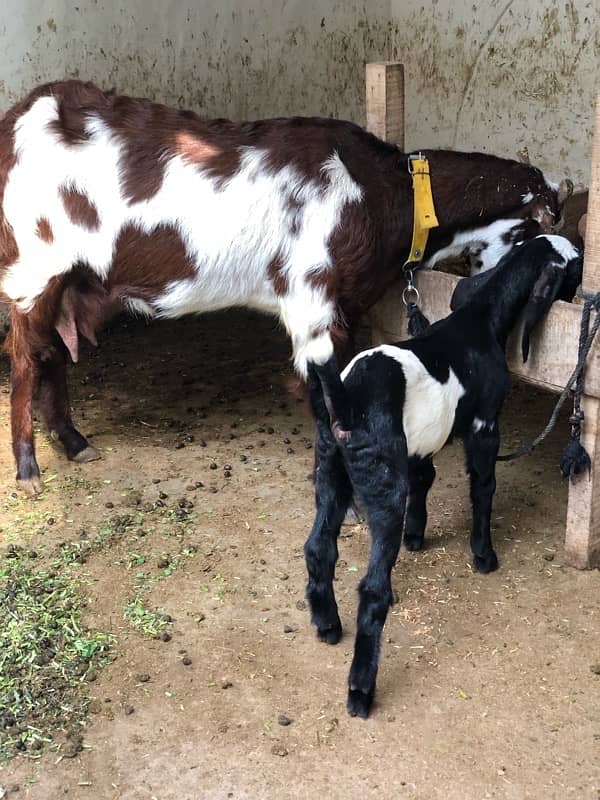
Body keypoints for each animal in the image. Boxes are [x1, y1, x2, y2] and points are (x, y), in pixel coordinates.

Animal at [0, 81, 568, 494]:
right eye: (532, 233)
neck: (386, 194)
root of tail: (19, 118)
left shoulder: (346, 308)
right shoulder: (310, 298)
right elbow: (322, 392)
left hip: (70, 278)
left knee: (52, 352)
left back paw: (72, 441)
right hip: (34, 267)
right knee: (25, 359)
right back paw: (28, 470)